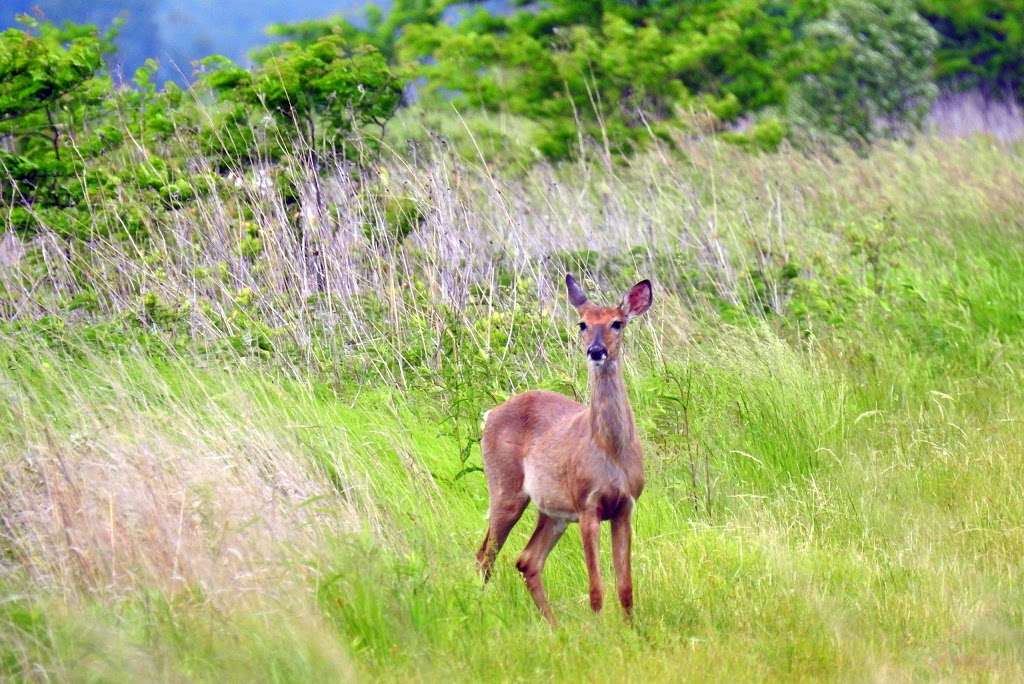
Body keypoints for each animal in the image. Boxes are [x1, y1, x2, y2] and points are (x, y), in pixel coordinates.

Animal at [475, 274, 651, 626]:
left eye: (617, 323)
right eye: (583, 323)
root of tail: (490, 415)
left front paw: (632, 630)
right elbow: (596, 588)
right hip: (505, 489)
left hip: (551, 510)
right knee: (485, 554)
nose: (596, 351)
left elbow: (625, 587)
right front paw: (599, 629)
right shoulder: (587, 506)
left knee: (527, 559)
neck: (610, 450)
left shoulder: (625, 506)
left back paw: (554, 626)